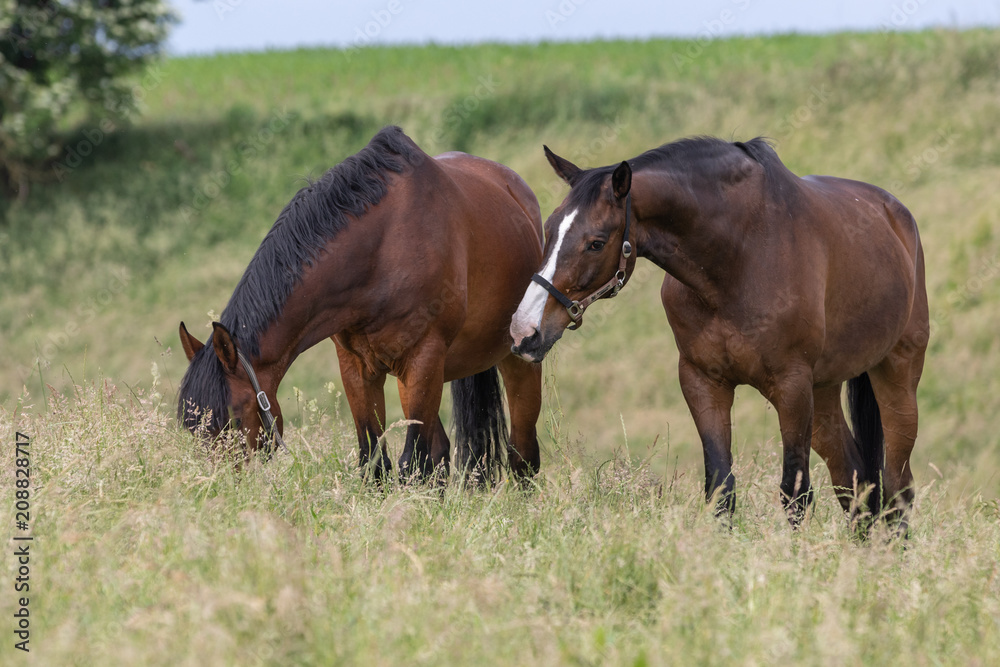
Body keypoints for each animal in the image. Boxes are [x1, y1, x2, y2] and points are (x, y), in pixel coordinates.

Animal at [176, 126, 544, 480]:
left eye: (234, 418)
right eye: (191, 427)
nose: (216, 485)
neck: (381, 249)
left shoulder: (424, 360)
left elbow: (414, 462)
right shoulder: (357, 368)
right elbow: (374, 462)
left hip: (513, 363)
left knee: (522, 455)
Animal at [516, 137, 928, 532]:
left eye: (596, 242)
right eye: (548, 230)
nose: (524, 331)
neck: (740, 257)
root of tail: (897, 217)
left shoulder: (791, 386)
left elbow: (794, 493)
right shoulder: (703, 382)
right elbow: (720, 489)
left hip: (896, 376)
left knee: (898, 485)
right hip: (824, 391)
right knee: (854, 480)